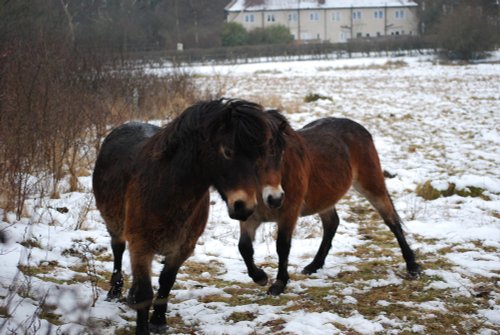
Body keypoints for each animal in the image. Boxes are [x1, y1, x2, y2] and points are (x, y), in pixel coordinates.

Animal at [93, 98, 286, 334]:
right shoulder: (140, 245)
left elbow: (166, 282)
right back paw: (115, 291)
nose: (244, 207)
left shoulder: (182, 248)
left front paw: (158, 320)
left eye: (259, 157)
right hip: (115, 227)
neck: (166, 189)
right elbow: (145, 294)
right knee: (118, 250)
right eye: (227, 151)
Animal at [238, 113, 422, 296]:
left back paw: (412, 266)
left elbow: (282, 246)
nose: (275, 199)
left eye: (280, 155)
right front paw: (260, 277)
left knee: (392, 221)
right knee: (332, 223)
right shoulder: (249, 216)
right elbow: (244, 247)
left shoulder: (288, 213)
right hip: (325, 197)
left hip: (371, 185)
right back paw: (314, 265)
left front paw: (278, 284)